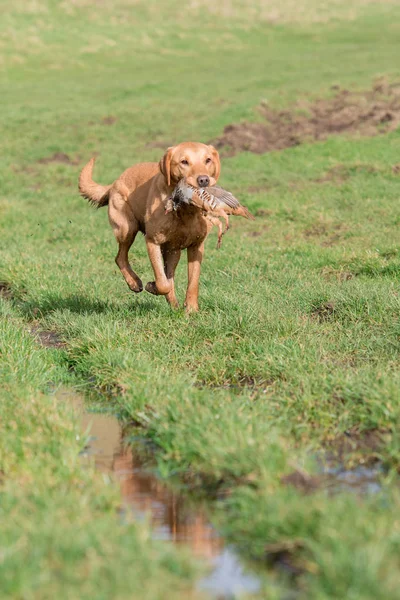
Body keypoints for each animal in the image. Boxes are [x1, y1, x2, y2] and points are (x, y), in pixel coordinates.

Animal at [79, 140, 220, 310]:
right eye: (184, 162)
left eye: (208, 160)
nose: (203, 180)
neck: (186, 211)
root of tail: (114, 183)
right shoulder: (153, 241)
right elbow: (162, 282)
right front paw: (152, 286)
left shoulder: (196, 246)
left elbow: (192, 281)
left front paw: (191, 309)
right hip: (127, 228)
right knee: (120, 257)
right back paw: (134, 283)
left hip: (173, 251)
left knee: (168, 273)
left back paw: (174, 305)